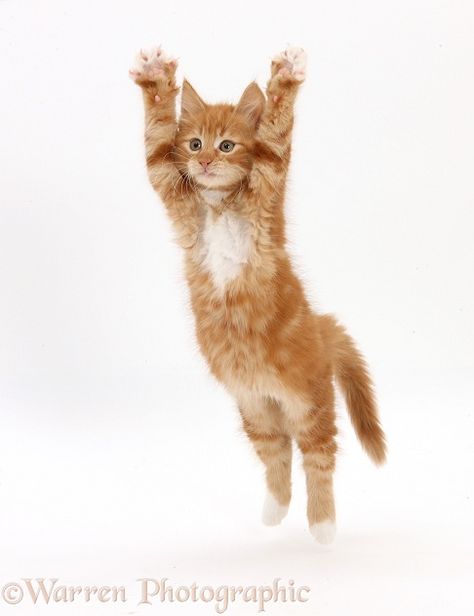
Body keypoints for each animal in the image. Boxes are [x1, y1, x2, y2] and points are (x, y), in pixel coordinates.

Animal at [129, 45, 386, 540]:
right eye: (195, 144)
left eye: (227, 145)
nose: (205, 163)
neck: (219, 204)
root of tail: (320, 329)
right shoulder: (173, 189)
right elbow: (155, 140)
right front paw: (154, 79)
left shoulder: (269, 185)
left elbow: (275, 138)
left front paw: (285, 79)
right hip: (256, 410)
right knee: (278, 453)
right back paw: (274, 509)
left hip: (309, 402)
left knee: (318, 455)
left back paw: (323, 524)